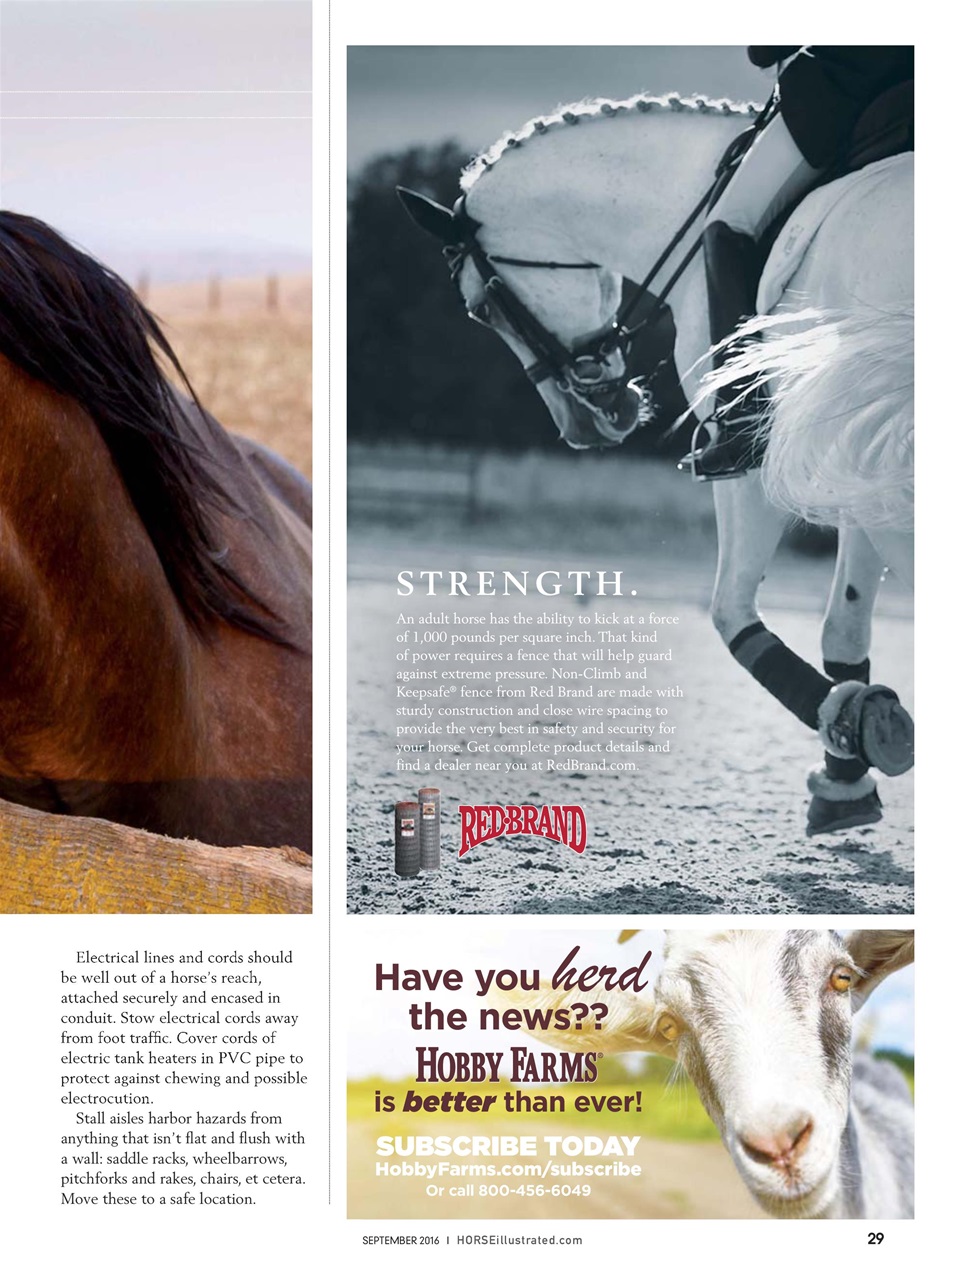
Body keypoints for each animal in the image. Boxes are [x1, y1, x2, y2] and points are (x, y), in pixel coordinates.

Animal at [397, 91, 913, 836]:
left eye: (481, 308)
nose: (582, 425)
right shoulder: (847, 465)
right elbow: (842, 625)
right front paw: (847, 772)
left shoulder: (757, 461)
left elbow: (730, 613)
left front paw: (855, 727)